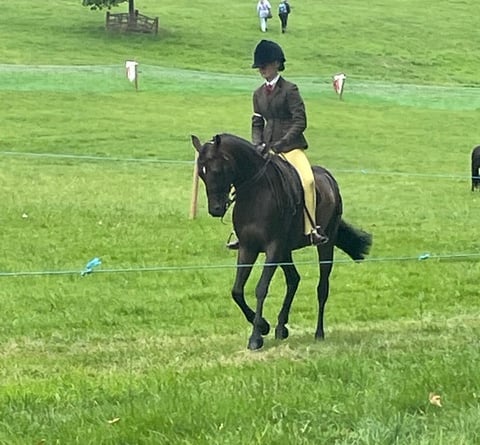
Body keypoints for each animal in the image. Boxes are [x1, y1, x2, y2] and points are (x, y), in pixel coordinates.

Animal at [191, 133, 372, 350]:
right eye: (201, 173)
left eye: (217, 170)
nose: (215, 209)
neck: (255, 193)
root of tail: (329, 178)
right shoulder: (248, 248)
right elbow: (237, 291)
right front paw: (263, 326)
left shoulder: (273, 248)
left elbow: (261, 288)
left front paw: (256, 337)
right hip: (285, 251)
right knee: (294, 279)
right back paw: (280, 327)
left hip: (323, 246)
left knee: (322, 288)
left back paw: (319, 333)